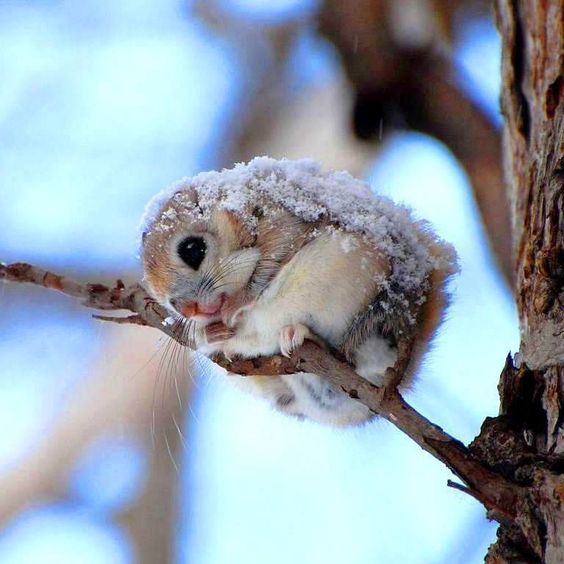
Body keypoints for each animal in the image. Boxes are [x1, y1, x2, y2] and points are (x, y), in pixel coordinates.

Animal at [141, 156, 458, 426]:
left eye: (192, 249)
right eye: (167, 302)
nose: (188, 309)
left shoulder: (283, 222)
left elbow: (268, 267)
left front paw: (237, 304)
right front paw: (208, 332)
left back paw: (303, 335)